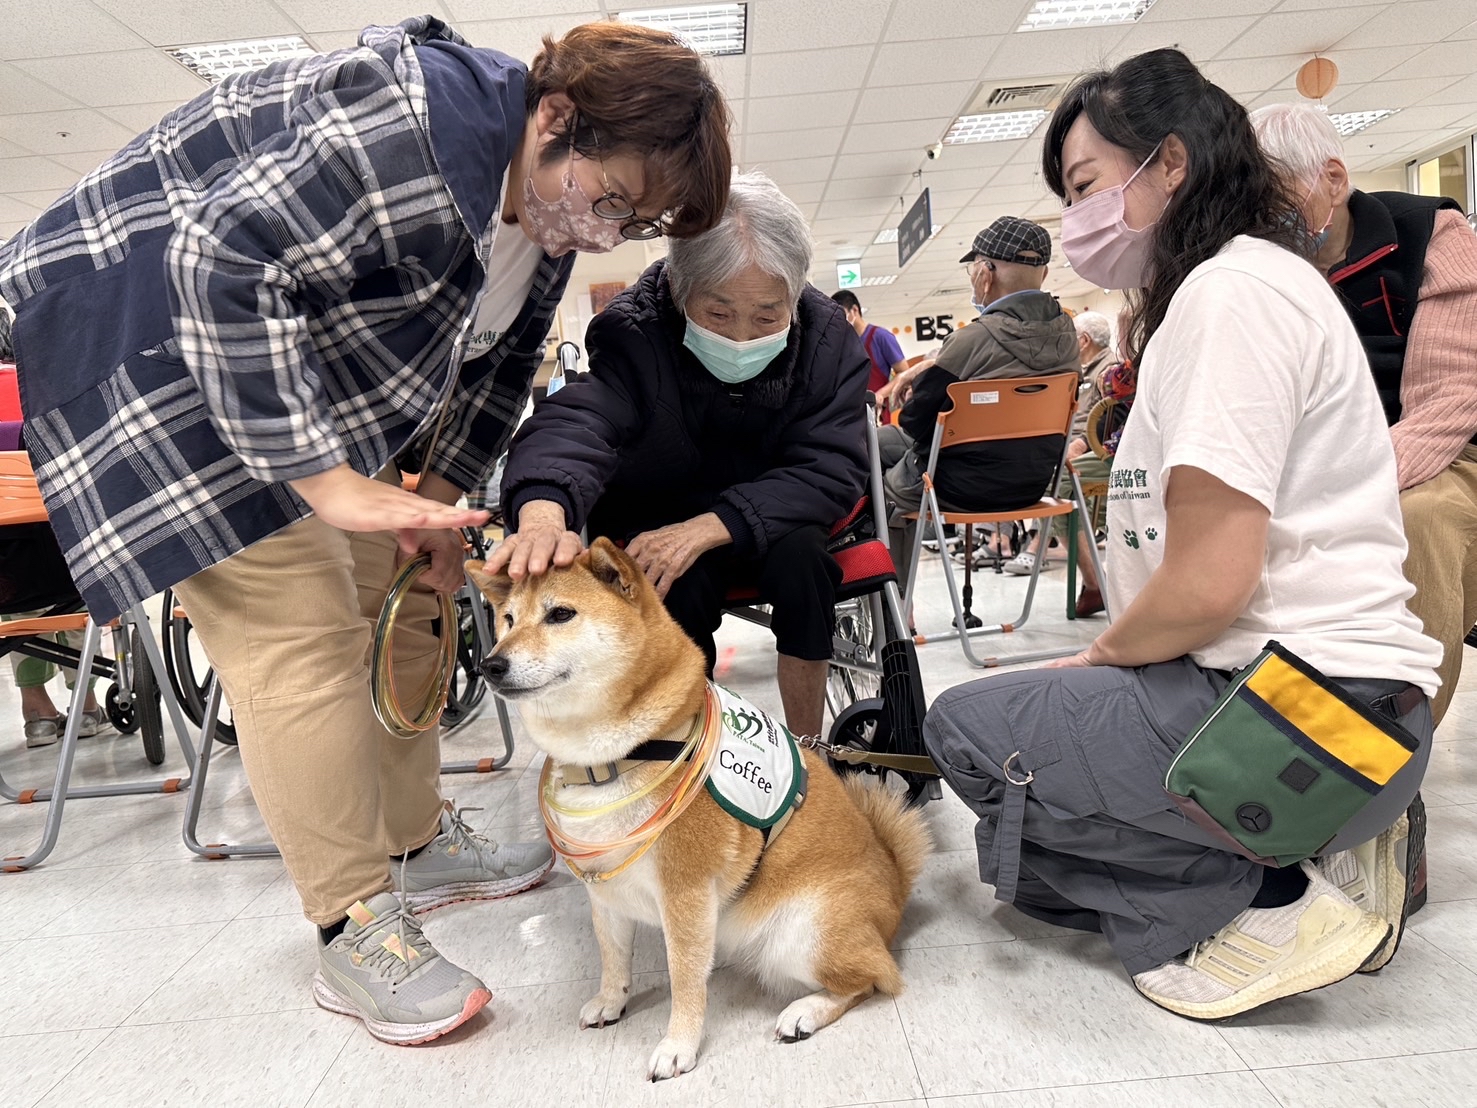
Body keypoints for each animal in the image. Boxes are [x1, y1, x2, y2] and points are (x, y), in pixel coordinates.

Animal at [466, 543, 927, 1087]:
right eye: (507, 620)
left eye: (560, 614)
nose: (490, 664)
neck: (621, 756)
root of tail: (896, 887)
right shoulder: (604, 889)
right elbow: (613, 958)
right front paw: (611, 1001)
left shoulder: (685, 892)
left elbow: (684, 977)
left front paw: (678, 1046)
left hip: (803, 934)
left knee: (875, 979)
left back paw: (806, 1012)